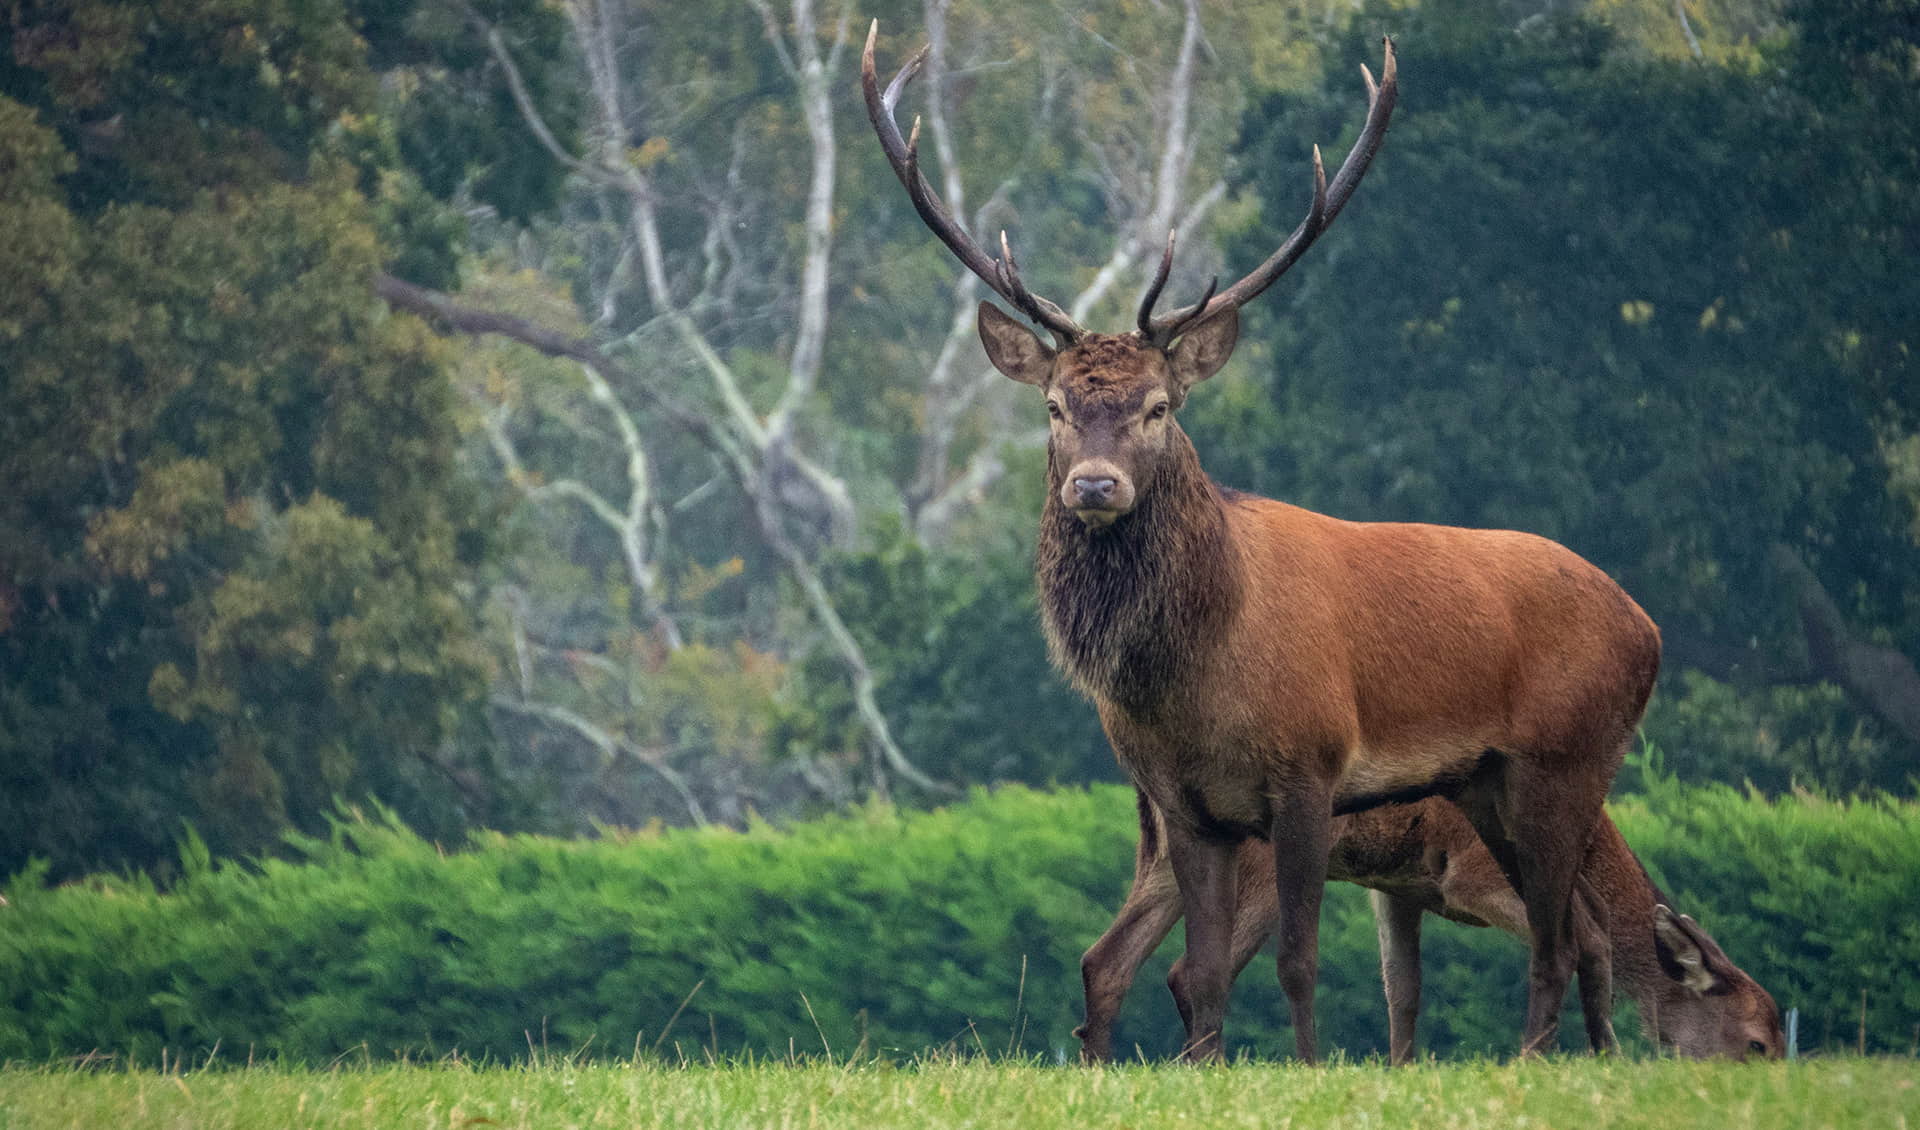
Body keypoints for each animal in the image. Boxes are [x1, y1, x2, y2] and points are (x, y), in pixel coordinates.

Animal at [864, 22, 1658, 1059]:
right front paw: (1203, 1066)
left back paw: (1543, 1061)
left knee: (1561, 936)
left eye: (1159, 406)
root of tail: (1648, 629)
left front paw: (1311, 1068)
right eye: (1055, 406)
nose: (1094, 485)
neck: (1196, 675)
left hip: (1569, 759)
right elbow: (1200, 976)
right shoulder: (1187, 805)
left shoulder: (1311, 771)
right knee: (1579, 927)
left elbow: (1299, 961)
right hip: (1490, 785)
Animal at [1075, 794, 1774, 1059]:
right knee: (1186, 970)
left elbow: (1403, 989)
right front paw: (1603, 1055)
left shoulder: (1398, 887)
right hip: (1257, 861)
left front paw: (1400, 1070)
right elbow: (1592, 932)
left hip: (1161, 858)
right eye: (1758, 1043)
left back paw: (1102, 1068)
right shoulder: (1470, 874)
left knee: (1105, 958)